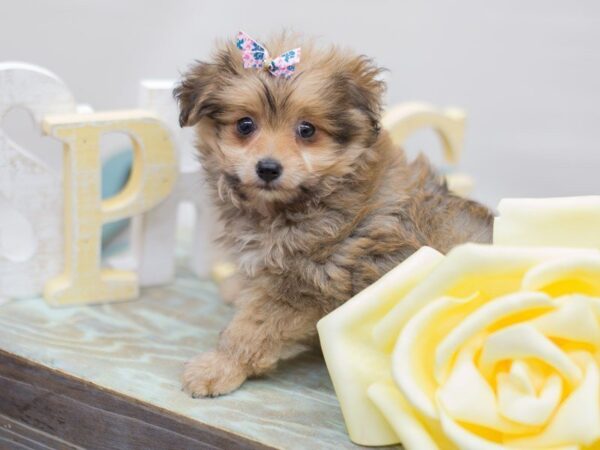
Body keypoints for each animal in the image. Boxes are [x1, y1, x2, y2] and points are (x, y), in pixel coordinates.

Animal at [175, 32, 492, 398]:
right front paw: (235, 291)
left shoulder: (301, 286)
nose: (268, 168)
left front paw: (218, 368)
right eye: (245, 125)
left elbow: (251, 329)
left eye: (307, 130)